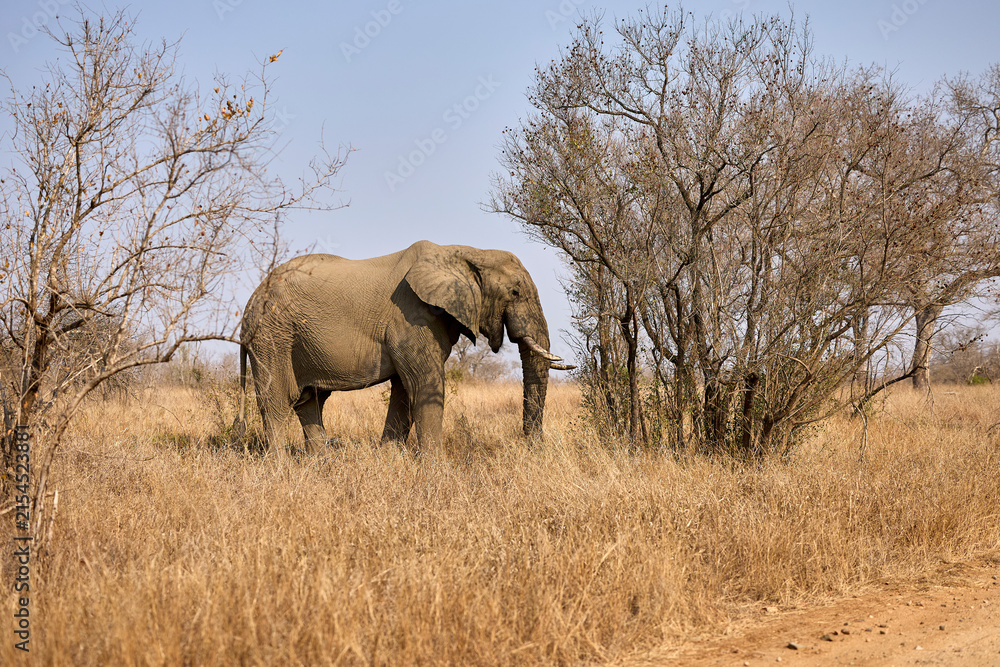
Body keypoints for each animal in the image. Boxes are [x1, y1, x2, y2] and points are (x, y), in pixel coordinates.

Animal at [234, 240, 574, 453]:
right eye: (515, 292)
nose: (531, 448)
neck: (467, 251)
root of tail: (249, 302)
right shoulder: (411, 317)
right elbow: (424, 385)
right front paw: (436, 470)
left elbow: (402, 389)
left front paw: (389, 459)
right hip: (272, 336)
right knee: (278, 401)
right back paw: (281, 469)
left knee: (309, 402)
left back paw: (322, 466)